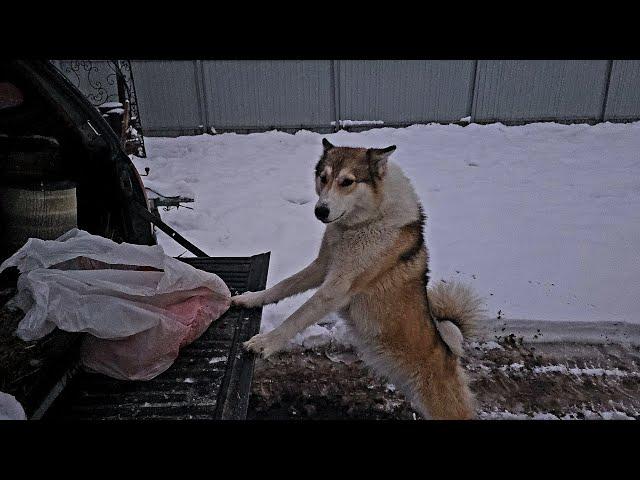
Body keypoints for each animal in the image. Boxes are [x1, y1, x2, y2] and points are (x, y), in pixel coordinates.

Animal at [232, 137, 482, 418]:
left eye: (347, 182)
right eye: (323, 178)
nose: (320, 211)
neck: (366, 220)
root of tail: (450, 352)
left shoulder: (336, 288)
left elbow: (296, 318)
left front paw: (265, 342)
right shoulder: (322, 267)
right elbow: (283, 286)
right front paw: (251, 299)